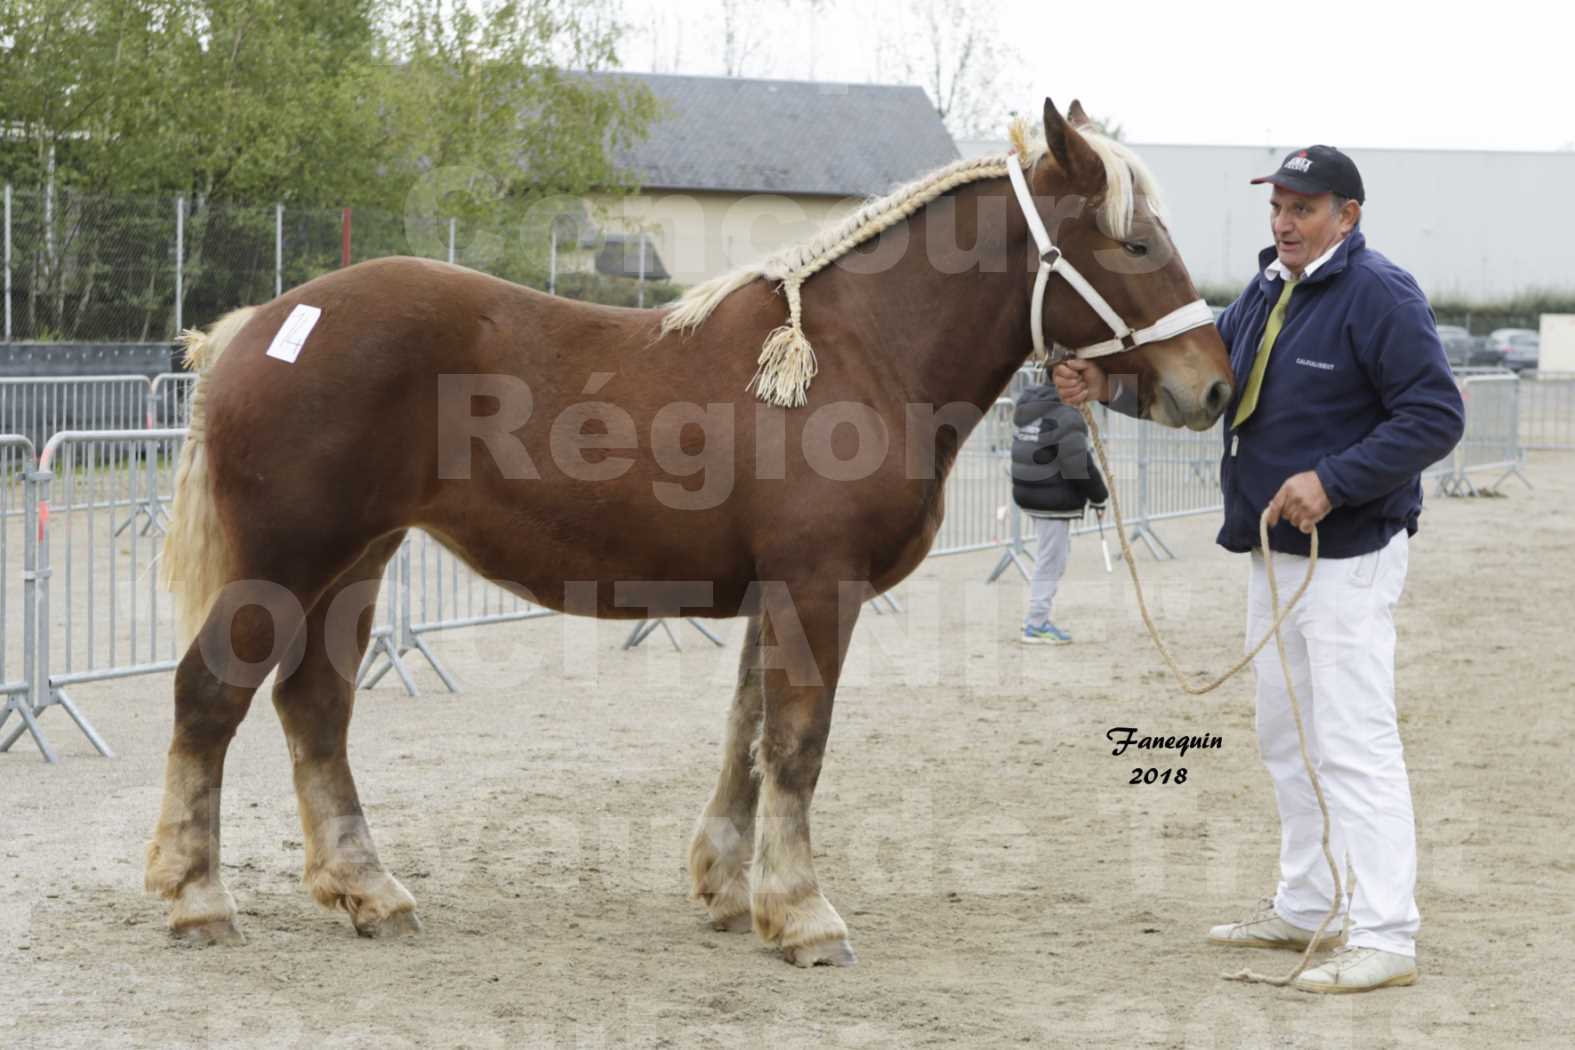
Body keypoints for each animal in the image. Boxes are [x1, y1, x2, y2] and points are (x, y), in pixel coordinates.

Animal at [148, 102, 1228, 963]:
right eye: (1135, 245)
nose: (1212, 387)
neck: (859, 356)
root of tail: (259, 326)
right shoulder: (817, 588)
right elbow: (796, 743)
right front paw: (803, 916)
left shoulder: (773, 593)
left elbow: (746, 735)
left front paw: (729, 889)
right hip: (286, 564)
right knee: (209, 696)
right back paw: (198, 899)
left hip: (357, 564)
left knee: (316, 708)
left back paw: (367, 890)